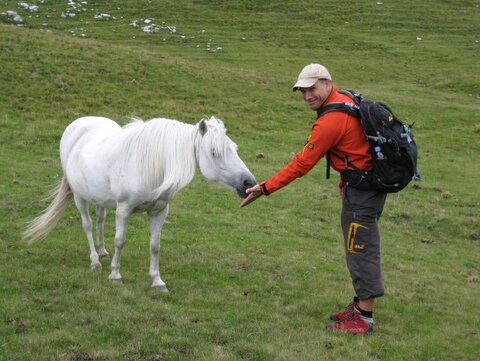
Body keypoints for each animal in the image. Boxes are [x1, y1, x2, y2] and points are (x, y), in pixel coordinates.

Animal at [23, 115, 255, 290]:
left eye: (234, 148)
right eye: (215, 152)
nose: (249, 182)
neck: (152, 166)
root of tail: (77, 124)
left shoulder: (160, 211)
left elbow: (155, 245)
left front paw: (157, 281)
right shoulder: (123, 209)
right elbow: (120, 240)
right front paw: (115, 275)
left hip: (100, 199)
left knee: (100, 220)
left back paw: (102, 251)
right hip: (79, 197)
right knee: (87, 225)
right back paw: (95, 261)